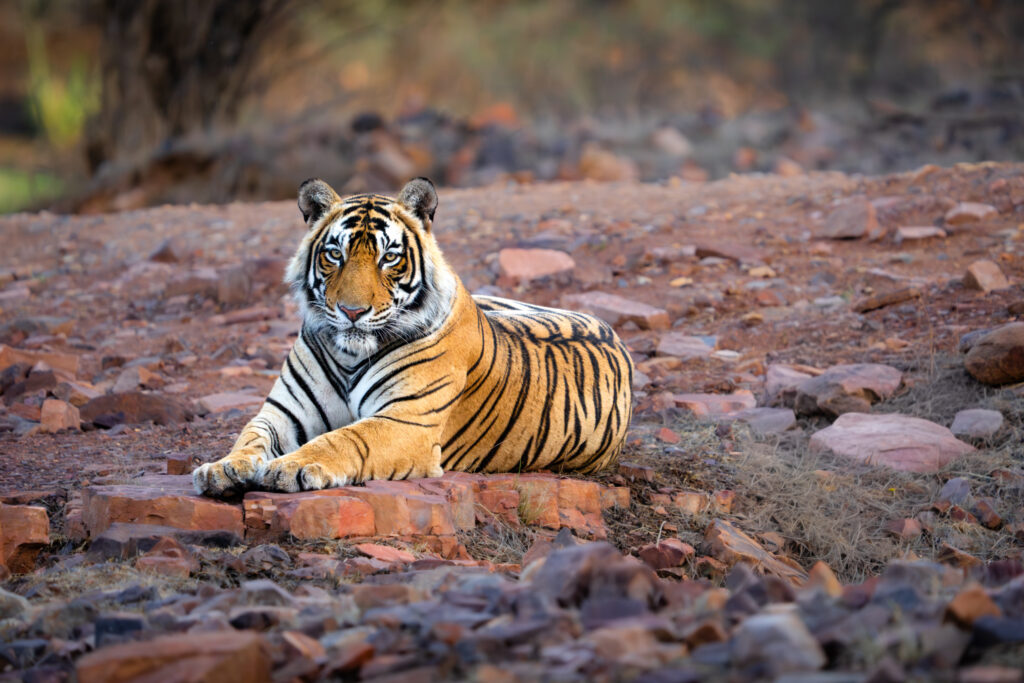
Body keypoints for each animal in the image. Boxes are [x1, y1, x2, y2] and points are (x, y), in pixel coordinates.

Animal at [193, 177, 633, 497]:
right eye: (335, 254)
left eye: (389, 257)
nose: (352, 312)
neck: (350, 356)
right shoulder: (285, 412)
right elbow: (250, 436)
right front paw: (221, 469)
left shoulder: (406, 420)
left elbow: (347, 438)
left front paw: (292, 466)